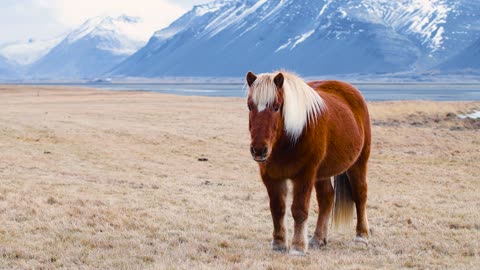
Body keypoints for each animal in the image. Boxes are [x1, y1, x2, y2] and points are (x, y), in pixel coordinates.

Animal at [248, 70, 372, 256]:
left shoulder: (305, 175)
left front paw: (298, 247)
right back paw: (318, 239)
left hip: (358, 162)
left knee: (360, 194)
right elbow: (277, 209)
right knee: (327, 198)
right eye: (250, 106)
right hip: (322, 173)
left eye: (276, 107)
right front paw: (278, 244)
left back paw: (361, 237)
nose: (259, 150)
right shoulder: (271, 177)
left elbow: (299, 210)